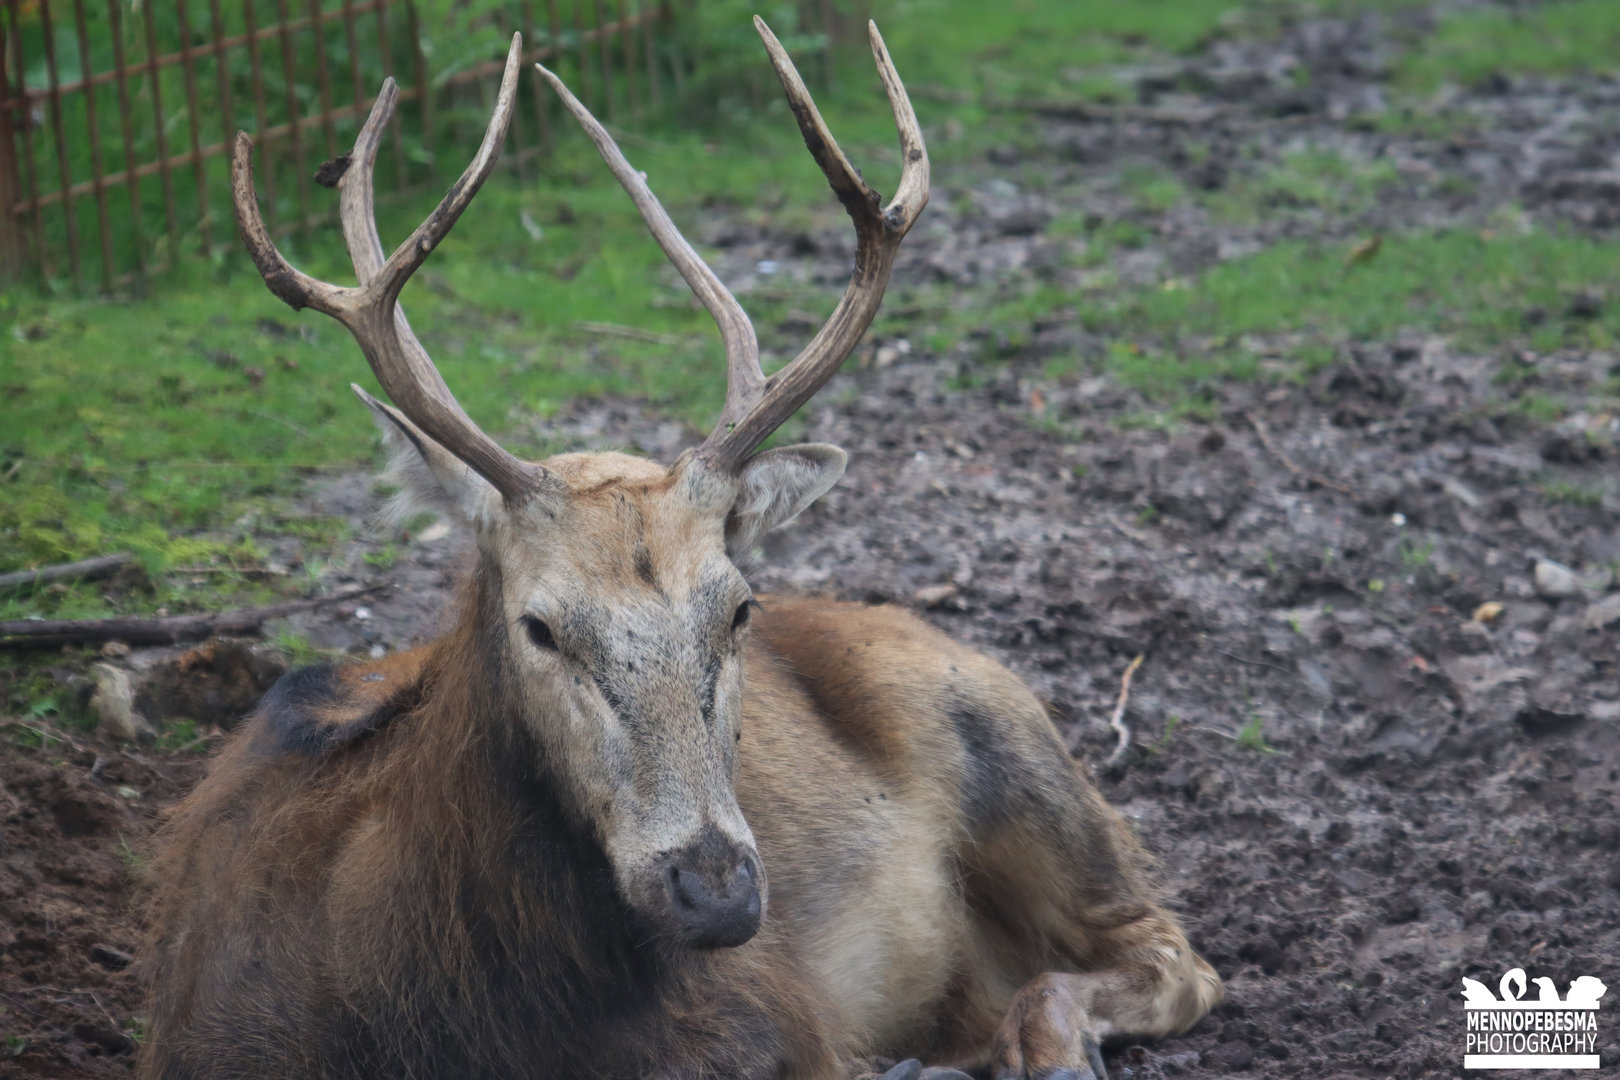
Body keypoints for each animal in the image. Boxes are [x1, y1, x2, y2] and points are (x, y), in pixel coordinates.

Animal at [138, 21, 1222, 1080]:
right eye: (539, 626)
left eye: (740, 606)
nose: (719, 891)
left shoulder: (788, 1019)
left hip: (1014, 747)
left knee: (1174, 952)